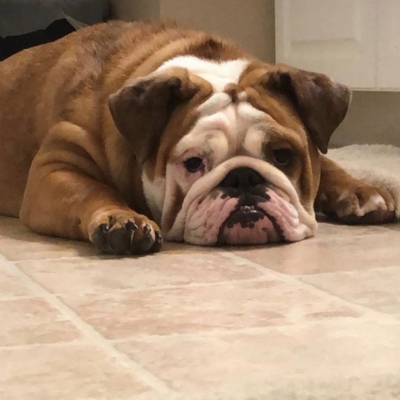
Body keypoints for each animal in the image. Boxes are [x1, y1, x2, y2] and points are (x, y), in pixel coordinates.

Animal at [0, 20, 394, 255]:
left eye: (283, 155)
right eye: (193, 164)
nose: (243, 178)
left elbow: (327, 162)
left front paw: (360, 191)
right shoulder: (56, 165)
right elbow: (90, 189)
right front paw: (121, 218)